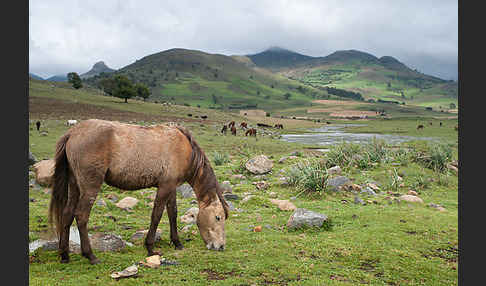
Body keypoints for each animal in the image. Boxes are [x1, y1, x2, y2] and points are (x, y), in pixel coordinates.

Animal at [48, 119, 229, 264]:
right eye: (217, 217)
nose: (220, 246)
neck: (185, 149)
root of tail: (73, 132)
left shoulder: (171, 187)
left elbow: (173, 213)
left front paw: (177, 243)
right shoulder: (165, 187)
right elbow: (156, 215)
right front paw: (150, 247)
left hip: (75, 186)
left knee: (67, 214)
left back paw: (64, 255)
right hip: (90, 187)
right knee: (81, 216)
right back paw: (90, 255)